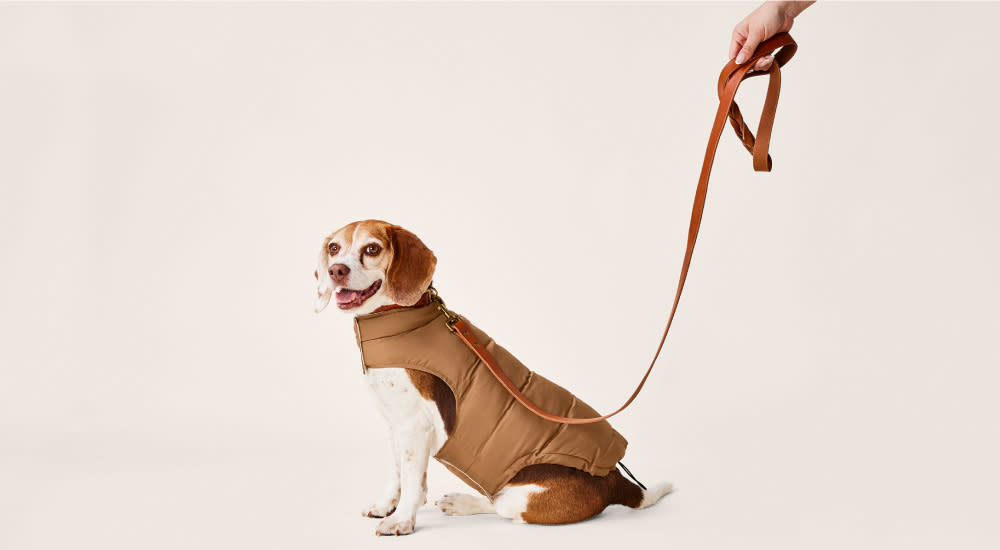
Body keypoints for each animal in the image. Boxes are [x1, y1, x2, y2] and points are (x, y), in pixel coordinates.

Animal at [312, 221, 672, 540]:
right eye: (334, 249)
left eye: (372, 249)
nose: (336, 271)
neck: (396, 318)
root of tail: (614, 480)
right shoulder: (394, 424)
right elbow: (398, 472)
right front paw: (387, 506)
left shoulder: (414, 426)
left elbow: (412, 480)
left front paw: (401, 520)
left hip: (521, 496)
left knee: (499, 505)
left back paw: (463, 503)